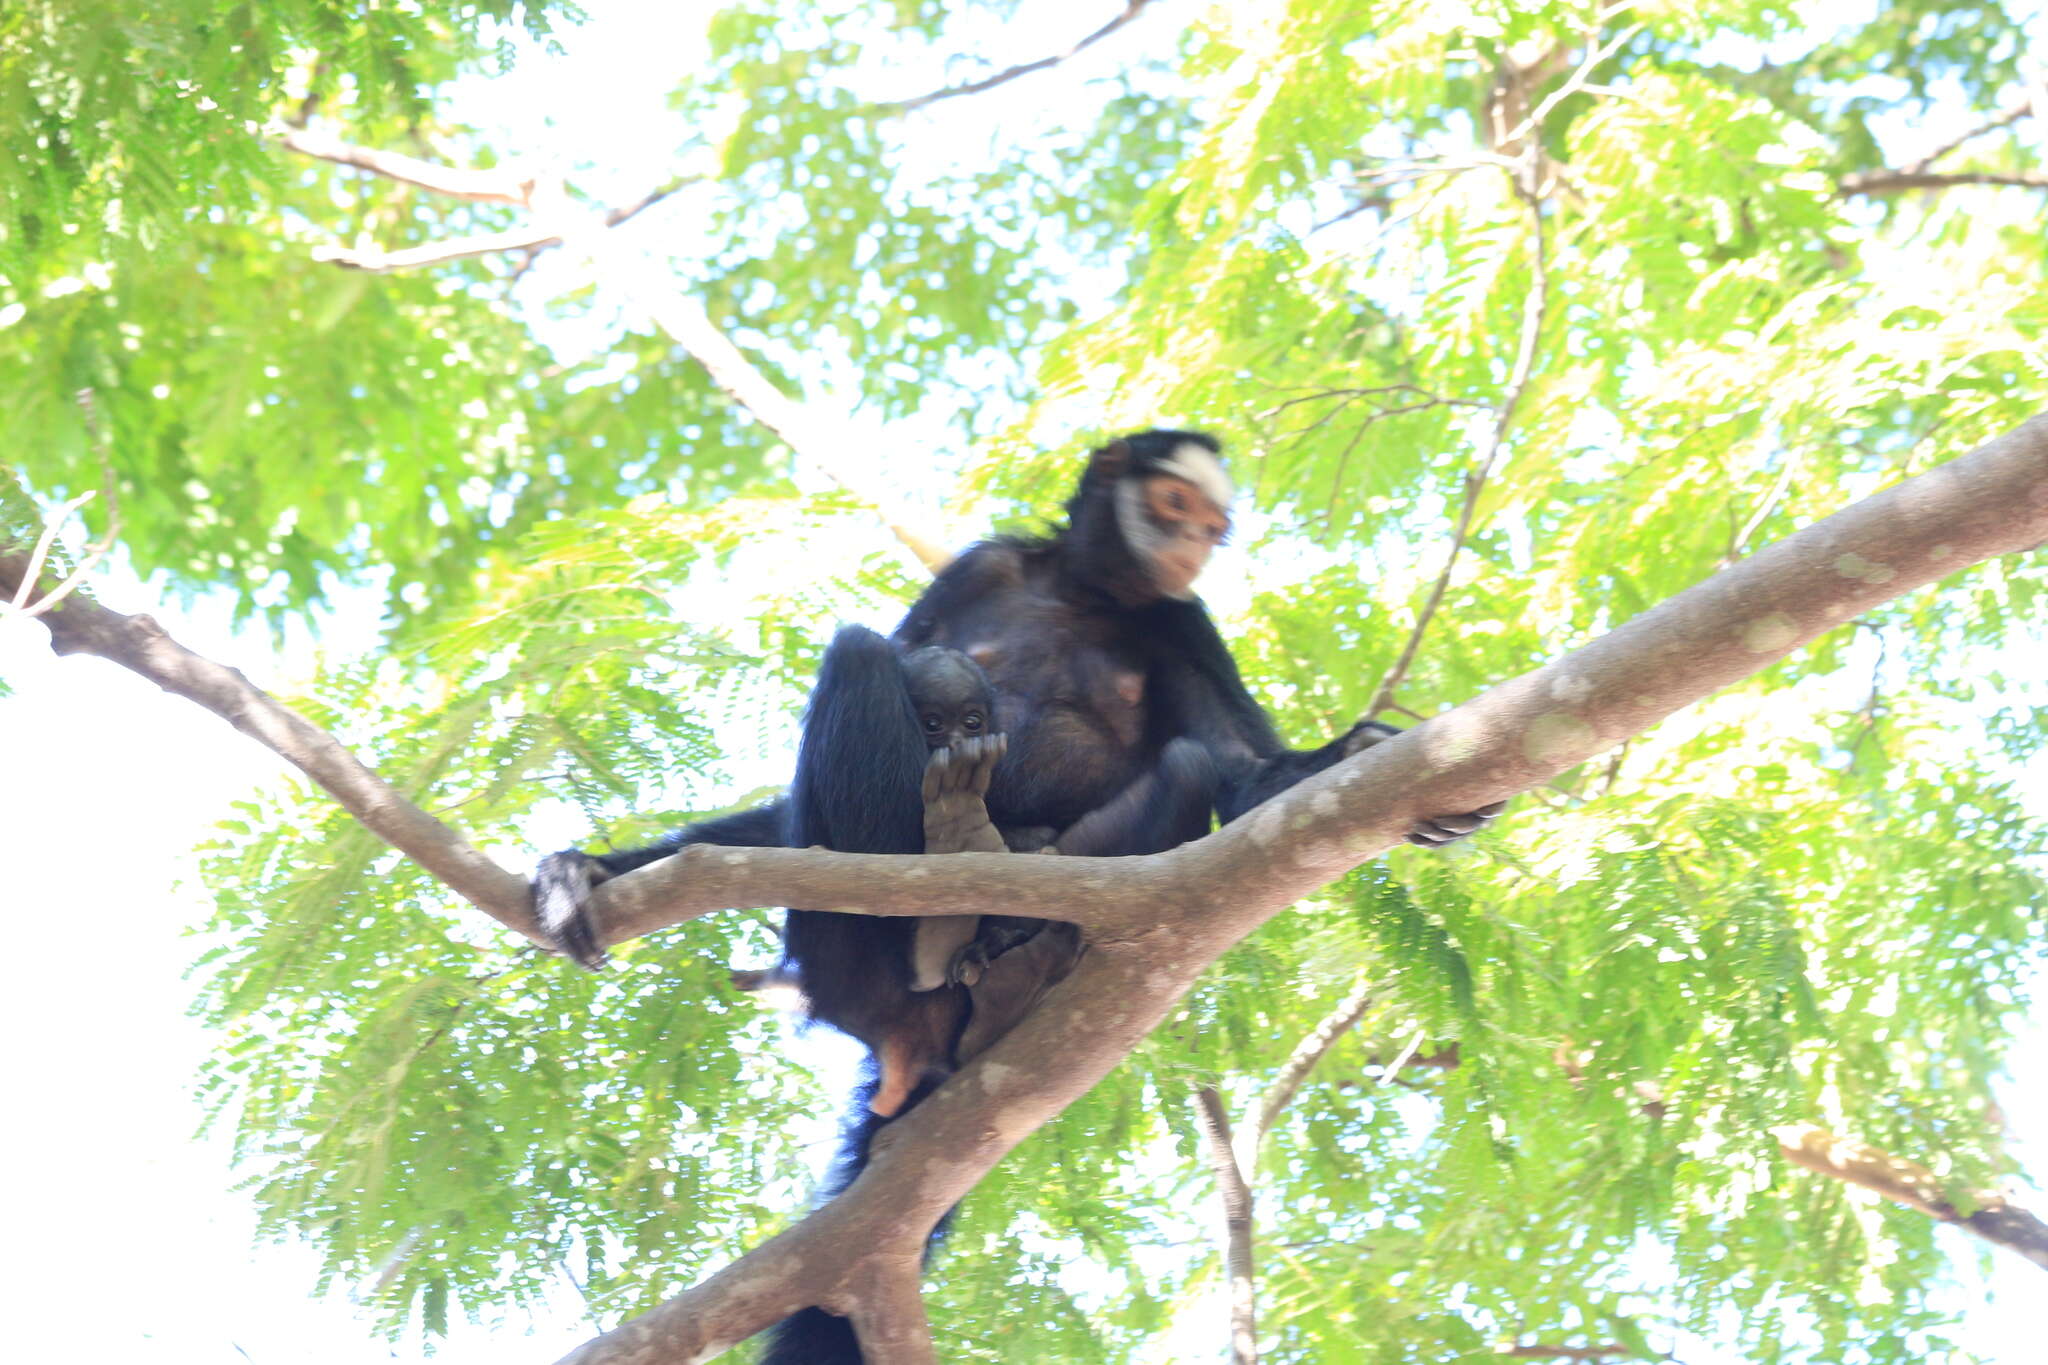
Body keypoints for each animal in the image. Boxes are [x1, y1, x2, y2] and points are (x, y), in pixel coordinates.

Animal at [524, 427, 1507, 1365]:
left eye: (1212, 525)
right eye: (1175, 504)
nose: (1191, 544)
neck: (1088, 595)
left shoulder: (1181, 618)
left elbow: (1243, 774)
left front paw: (1364, 758)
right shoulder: (985, 566)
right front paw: (591, 871)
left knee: (1184, 765)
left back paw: (1003, 938)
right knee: (862, 656)